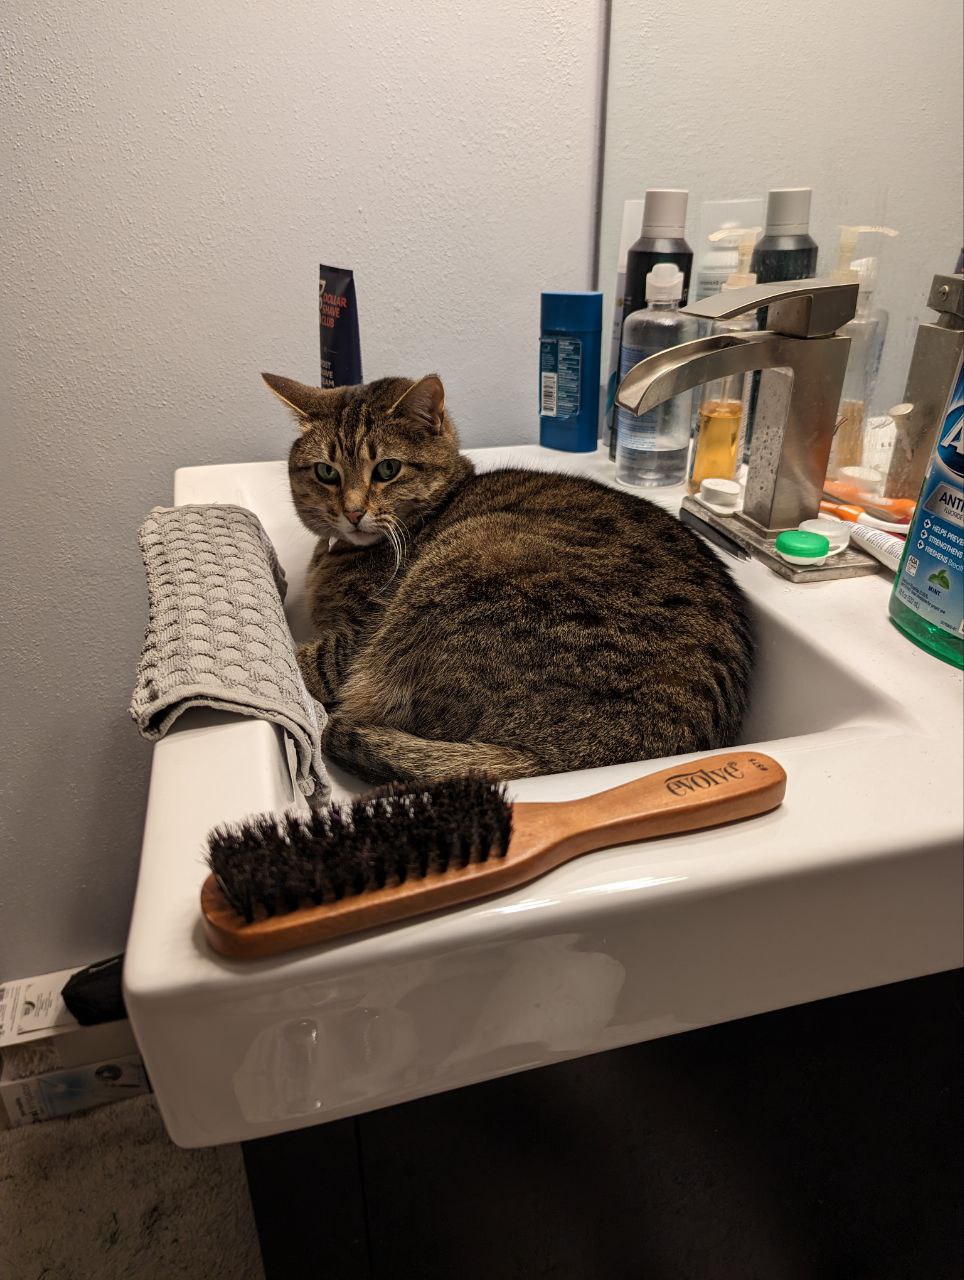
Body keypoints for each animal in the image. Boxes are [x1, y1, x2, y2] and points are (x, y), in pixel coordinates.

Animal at [263, 373, 752, 778]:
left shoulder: (358, 634)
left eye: (387, 469)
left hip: (461, 567)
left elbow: (304, 660)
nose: (352, 512)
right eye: (326, 472)